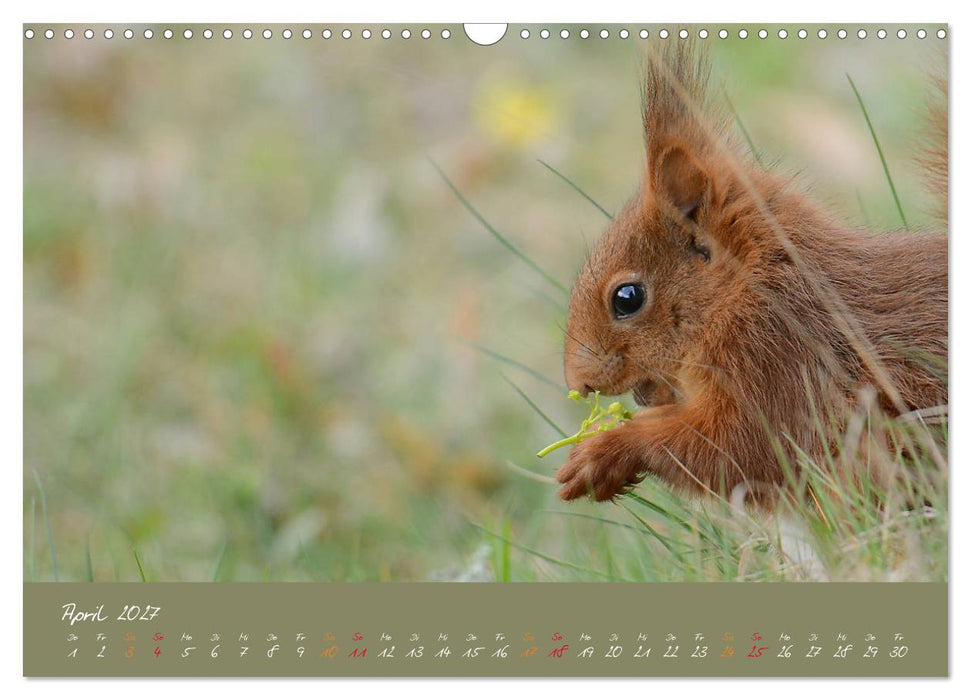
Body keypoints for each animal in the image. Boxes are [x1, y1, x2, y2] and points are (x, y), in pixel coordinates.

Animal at [555, 41, 948, 503]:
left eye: (627, 298)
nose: (578, 383)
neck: (746, 288)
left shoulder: (780, 360)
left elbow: (740, 449)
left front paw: (603, 452)